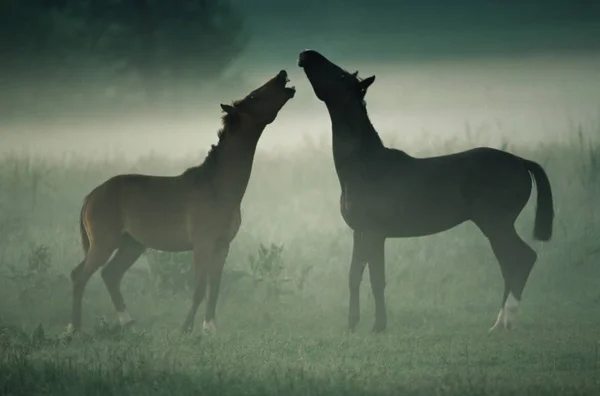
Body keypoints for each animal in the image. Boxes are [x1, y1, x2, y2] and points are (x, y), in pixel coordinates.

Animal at [68, 70, 296, 334]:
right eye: (254, 96)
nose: (282, 75)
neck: (217, 187)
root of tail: (91, 196)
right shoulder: (202, 244)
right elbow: (198, 288)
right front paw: (186, 329)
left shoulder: (221, 246)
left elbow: (214, 289)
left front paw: (210, 329)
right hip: (104, 243)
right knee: (80, 276)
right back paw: (74, 329)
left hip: (132, 244)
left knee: (110, 274)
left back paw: (128, 323)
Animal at [298, 49, 556, 334]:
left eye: (342, 76)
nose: (307, 54)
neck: (366, 165)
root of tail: (522, 162)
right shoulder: (360, 231)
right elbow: (355, 276)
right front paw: (352, 324)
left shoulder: (376, 233)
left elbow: (377, 278)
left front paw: (378, 326)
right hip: (496, 227)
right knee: (510, 264)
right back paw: (499, 323)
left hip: (496, 224)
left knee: (521, 259)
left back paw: (504, 322)